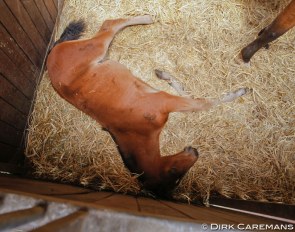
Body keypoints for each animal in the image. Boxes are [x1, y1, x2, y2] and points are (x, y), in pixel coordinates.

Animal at [46, 15, 250, 195]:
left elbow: (194, 98)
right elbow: (201, 103)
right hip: (97, 48)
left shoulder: (164, 98)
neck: (137, 130)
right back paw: (147, 18)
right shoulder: (165, 100)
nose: (195, 152)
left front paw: (164, 74)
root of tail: (52, 53)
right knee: (109, 25)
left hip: (98, 49)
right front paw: (238, 92)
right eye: (176, 175)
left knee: (109, 24)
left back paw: (147, 18)